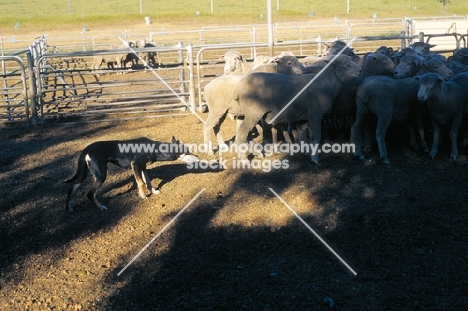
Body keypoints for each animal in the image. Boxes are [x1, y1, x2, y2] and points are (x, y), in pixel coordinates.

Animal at [65, 138, 197, 213]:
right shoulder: (136, 165)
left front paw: (153, 191)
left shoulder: (143, 168)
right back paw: (101, 207)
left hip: (83, 174)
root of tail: (86, 149)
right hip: (101, 175)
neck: (154, 149)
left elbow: (148, 182)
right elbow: (141, 183)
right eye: (187, 152)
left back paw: (69, 208)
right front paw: (143, 196)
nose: (197, 156)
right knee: (90, 194)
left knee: (71, 190)